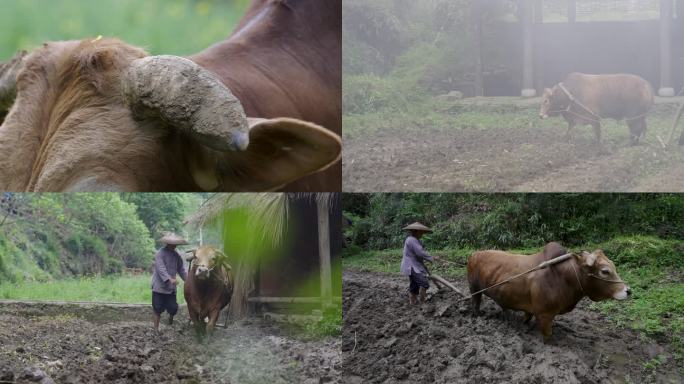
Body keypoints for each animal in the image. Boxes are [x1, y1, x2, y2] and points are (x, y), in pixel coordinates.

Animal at [464, 243, 632, 342]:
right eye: (605, 271)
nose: (628, 291)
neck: (563, 276)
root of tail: (474, 254)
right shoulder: (545, 315)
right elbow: (547, 336)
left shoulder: (532, 310)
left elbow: (526, 318)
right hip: (474, 290)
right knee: (475, 304)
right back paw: (476, 316)